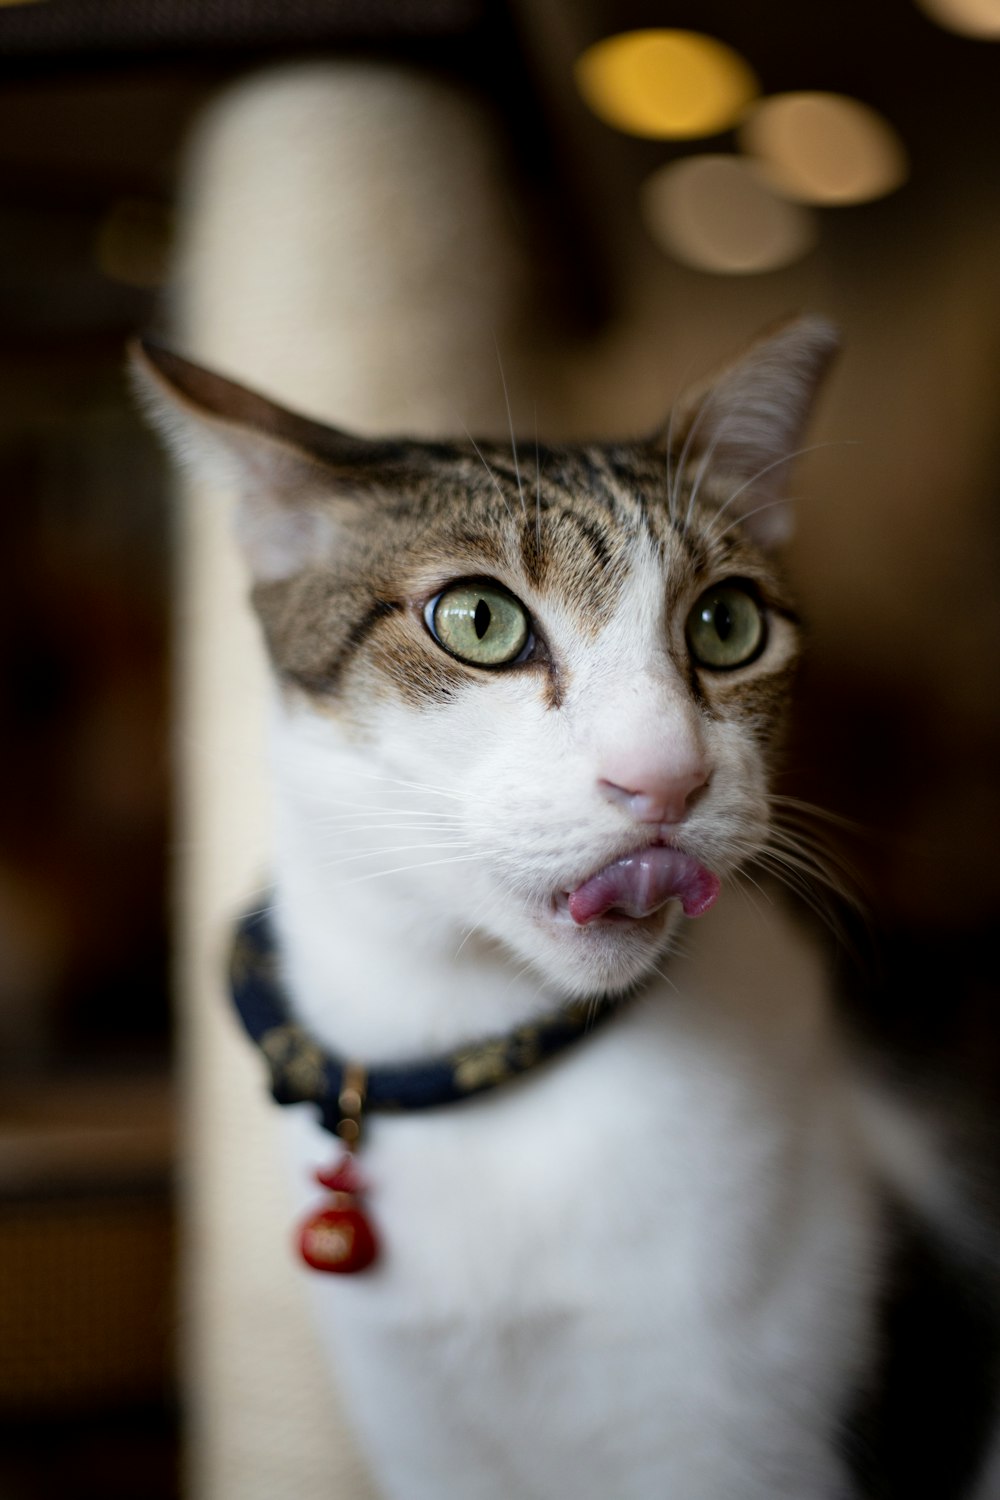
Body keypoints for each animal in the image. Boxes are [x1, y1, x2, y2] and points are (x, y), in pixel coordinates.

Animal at [131, 325, 995, 1500]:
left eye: (727, 623)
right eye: (479, 620)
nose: (664, 777)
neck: (480, 1049)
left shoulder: (746, 1441)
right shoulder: (425, 1442)